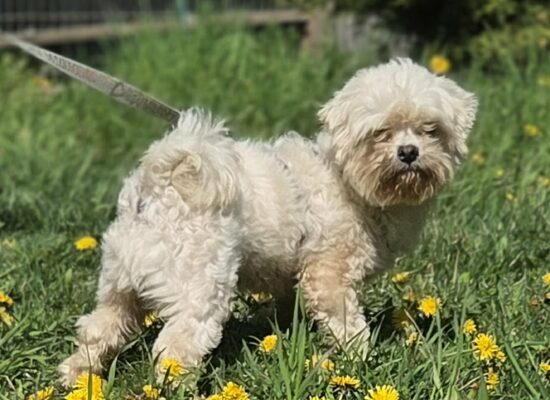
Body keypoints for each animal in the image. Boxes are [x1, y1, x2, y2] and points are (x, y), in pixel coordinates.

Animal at [59, 58, 477, 385]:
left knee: (98, 327)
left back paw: (76, 374)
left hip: (120, 283)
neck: (346, 179)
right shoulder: (328, 274)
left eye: (430, 129)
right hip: (200, 288)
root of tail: (160, 180)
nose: (409, 152)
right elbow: (346, 324)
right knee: (176, 347)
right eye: (380, 133)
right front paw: (356, 359)